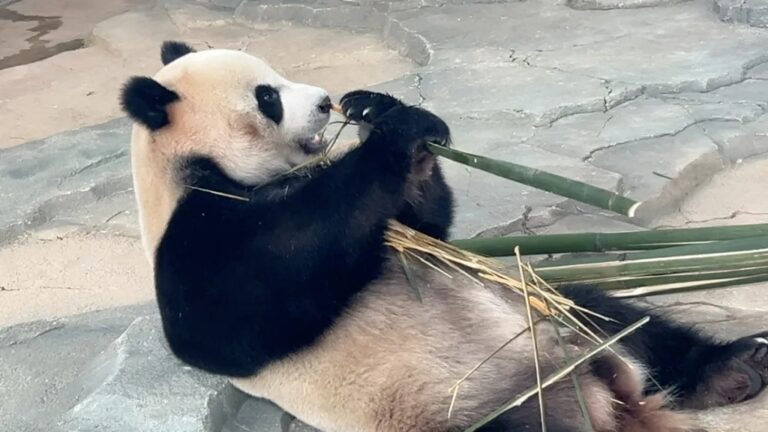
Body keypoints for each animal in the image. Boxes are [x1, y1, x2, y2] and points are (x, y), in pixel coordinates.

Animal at [121, 41, 768, 432]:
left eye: (274, 78)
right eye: (267, 97)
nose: (328, 102)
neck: (193, 166)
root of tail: (615, 395)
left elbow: (422, 225)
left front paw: (377, 107)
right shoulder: (195, 234)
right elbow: (243, 307)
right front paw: (395, 130)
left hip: (547, 308)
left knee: (620, 318)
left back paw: (733, 368)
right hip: (470, 409)